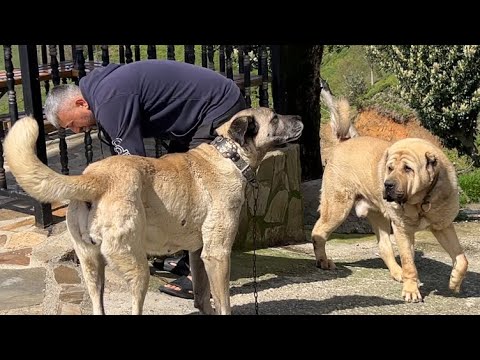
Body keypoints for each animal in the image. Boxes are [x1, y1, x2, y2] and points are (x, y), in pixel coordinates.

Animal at [312, 86, 468, 300]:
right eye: (390, 168)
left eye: (408, 169)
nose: (387, 185)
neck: (422, 199)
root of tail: (342, 142)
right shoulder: (402, 229)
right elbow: (410, 263)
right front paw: (411, 290)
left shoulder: (443, 226)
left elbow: (462, 259)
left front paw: (454, 282)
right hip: (338, 207)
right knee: (318, 231)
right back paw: (323, 261)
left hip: (378, 216)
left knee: (384, 248)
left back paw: (397, 273)